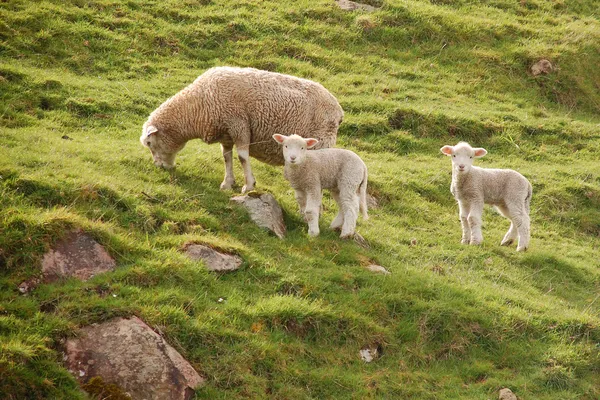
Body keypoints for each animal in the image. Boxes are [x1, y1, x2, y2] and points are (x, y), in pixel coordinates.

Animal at [139, 66, 342, 194]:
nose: (158, 166)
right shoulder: (226, 133)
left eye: (149, 142)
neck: (197, 107)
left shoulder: (239, 124)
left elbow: (242, 157)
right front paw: (227, 183)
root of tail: (338, 110)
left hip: (320, 144)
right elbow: (227, 157)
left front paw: (249, 185)